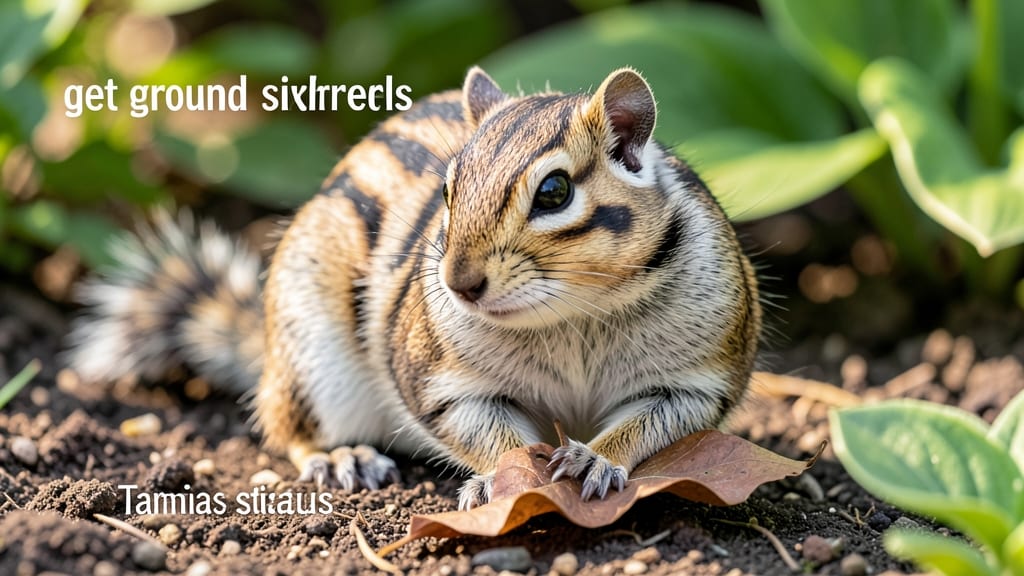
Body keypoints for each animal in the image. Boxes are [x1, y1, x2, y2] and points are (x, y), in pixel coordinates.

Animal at [66, 67, 762, 510]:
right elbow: (487, 434)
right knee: (287, 428)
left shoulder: (697, 379)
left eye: (555, 192)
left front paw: (595, 458)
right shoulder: (439, 381)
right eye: (447, 189)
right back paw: (340, 457)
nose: (457, 283)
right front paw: (504, 478)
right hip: (311, 361)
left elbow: (648, 425)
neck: (571, 313)